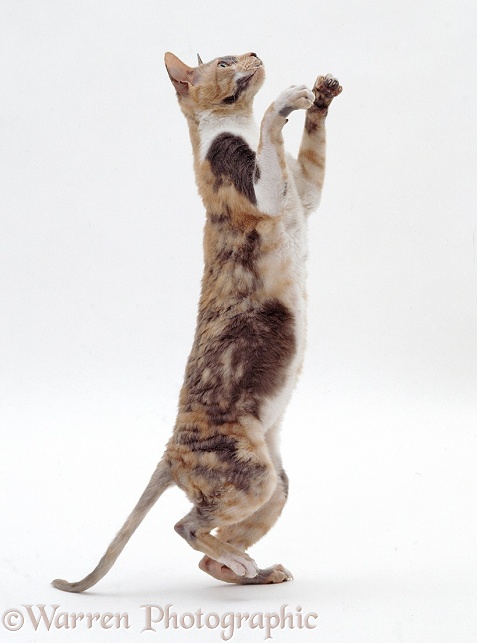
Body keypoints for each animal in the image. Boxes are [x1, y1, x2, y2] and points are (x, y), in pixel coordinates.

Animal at [52, 51, 340, 592]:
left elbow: (311, 159)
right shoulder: (262, 188)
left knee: (210, 551)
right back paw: (241, 561)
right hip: (253, 475)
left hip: (275, 481)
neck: (235, 125)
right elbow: (272, 130)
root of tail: (172, 451)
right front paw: (285, 101)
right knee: (185, 525)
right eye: (225, 62)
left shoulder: (305, 190)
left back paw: (254, 569)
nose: (254, 53)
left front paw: (322, 96)